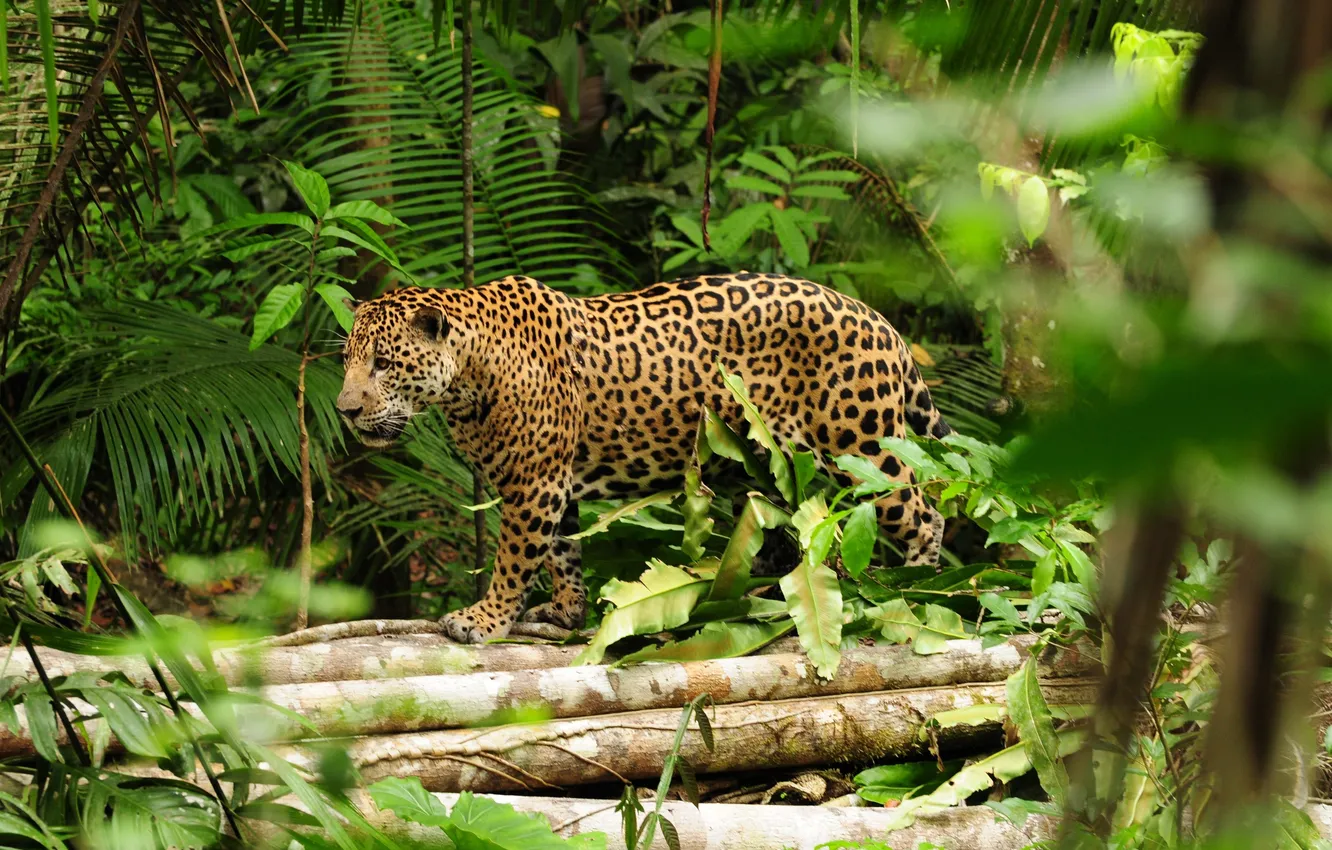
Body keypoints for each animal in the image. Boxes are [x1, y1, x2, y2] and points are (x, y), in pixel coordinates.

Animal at [336, 272, 952, 644]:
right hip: (755, 459)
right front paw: (566, 613)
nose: (344, 409)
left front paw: (483, 619)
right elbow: (562, 553)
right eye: (346, 361)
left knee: (926, 513)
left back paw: (916, 585)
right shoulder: (555, 483)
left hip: (860, 448)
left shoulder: (534, 483)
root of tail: (881, 320)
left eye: (384, 364)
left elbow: (515, 558)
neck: (466, 378)